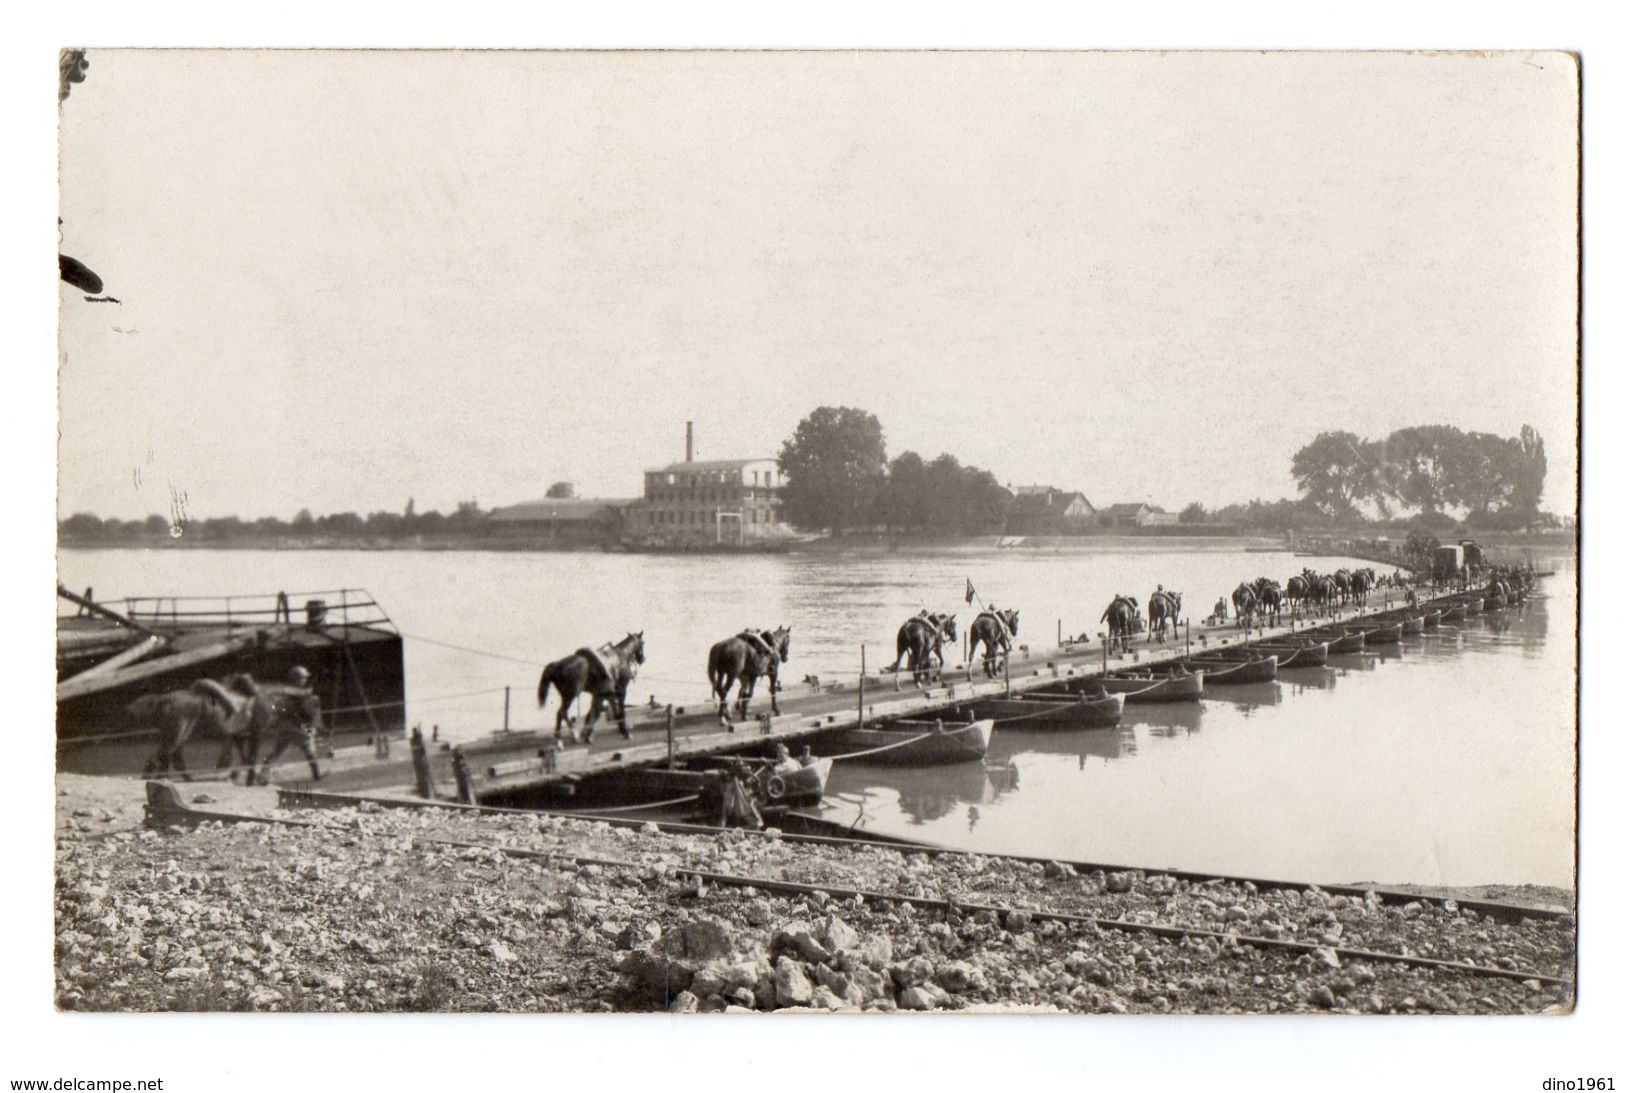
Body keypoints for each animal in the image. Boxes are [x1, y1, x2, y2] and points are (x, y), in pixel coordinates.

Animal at [134, 669, 268, 779]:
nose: (257, 692)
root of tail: (162, 700)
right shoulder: (250, 731)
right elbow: (243, 757)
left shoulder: (237, 733)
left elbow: (238, 756)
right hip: (175, 735)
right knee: (160, 758)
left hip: (176, 734)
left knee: (170, 759)